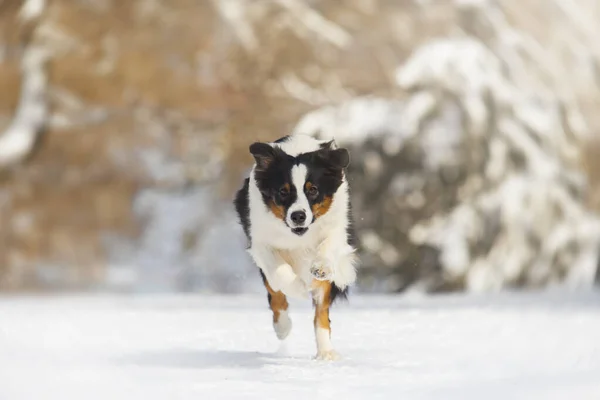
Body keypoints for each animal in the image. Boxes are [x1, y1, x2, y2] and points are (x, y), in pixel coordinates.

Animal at [233, 135, 356, 362]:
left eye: (313, 190)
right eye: (283, 191)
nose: (298, 216)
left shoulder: (337, 226)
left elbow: (328, 247)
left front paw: (320, 268)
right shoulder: (260, 241)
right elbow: (280, 274)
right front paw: (298, 288)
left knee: (321, 312)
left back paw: (325, 352)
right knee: (275, 292)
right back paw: (283, 327)